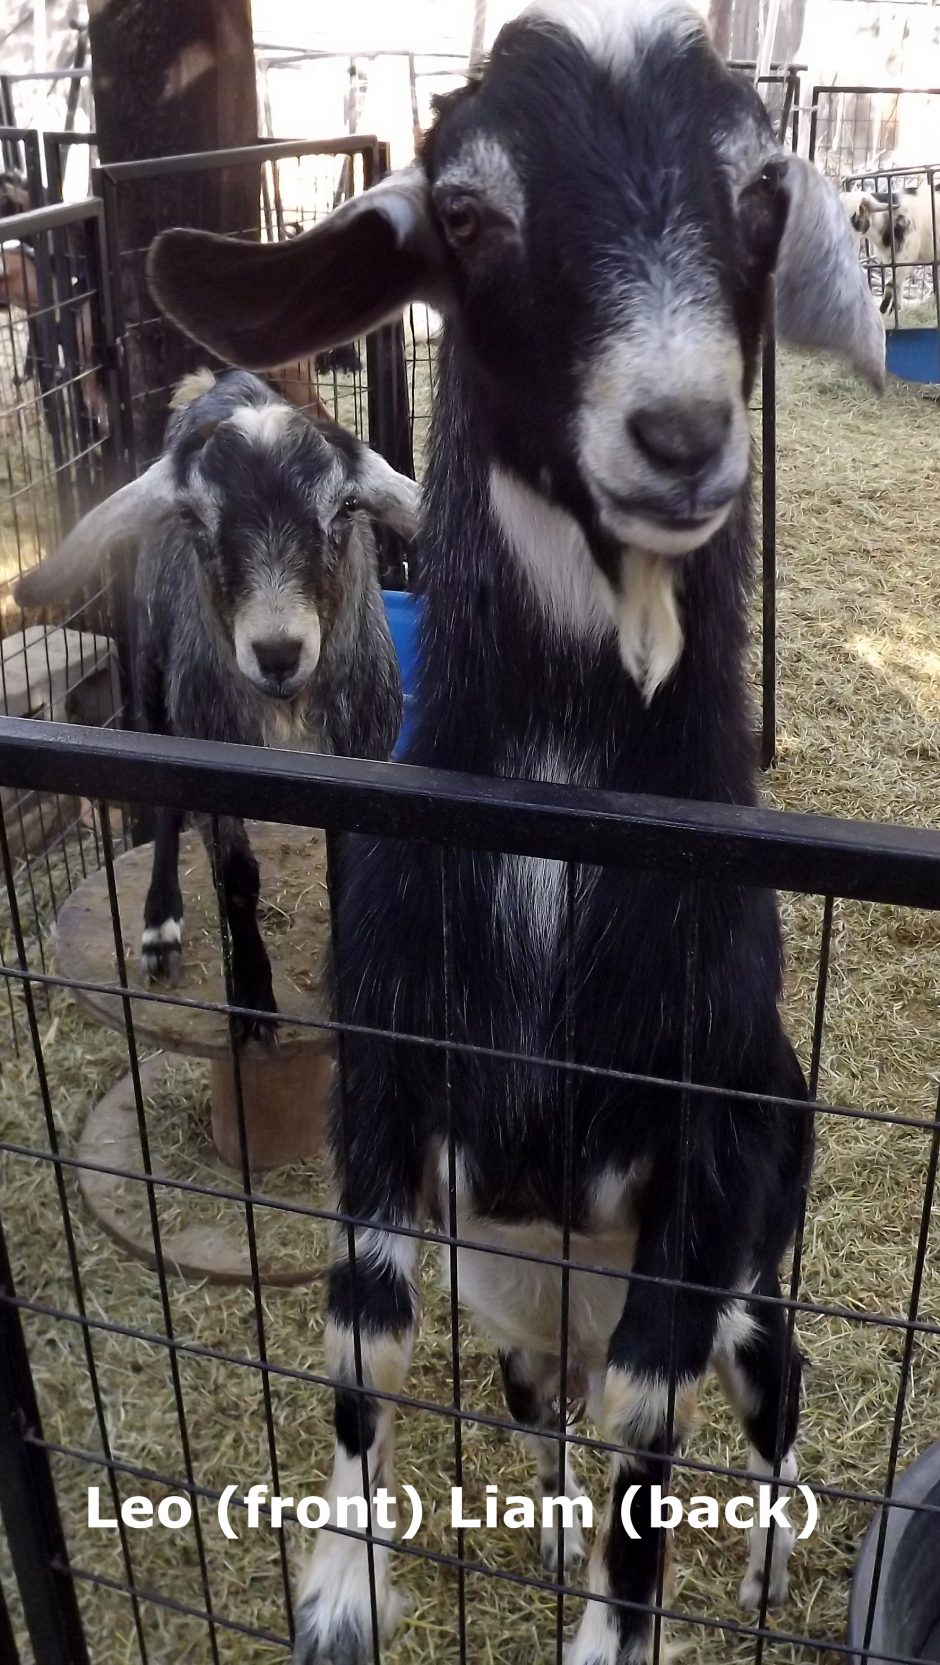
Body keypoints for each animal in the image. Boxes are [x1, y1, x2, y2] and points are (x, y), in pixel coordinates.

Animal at [16, 368, 417, 1042]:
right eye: (192, 515)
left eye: (346, 506)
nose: (277, 652)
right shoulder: (214, 761)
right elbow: (235, 878)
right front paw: (252, 998)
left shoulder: (362, 760)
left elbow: (345, 873)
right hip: (152, 673)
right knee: (163, 805)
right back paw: (160, 926)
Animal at [150, 1, 884, 1657]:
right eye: (471, 213)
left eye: (760, 192)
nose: (679, 434)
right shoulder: (387, 1071)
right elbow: (365, 1346)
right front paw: (338, 1597)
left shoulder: (705, 1149)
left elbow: (649, 1434)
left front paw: (623, 1624)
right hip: (531, 1318)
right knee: (539, 1397)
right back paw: (544, 1525)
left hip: (763, 1261)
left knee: (769, 1384)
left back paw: (764, 1564)